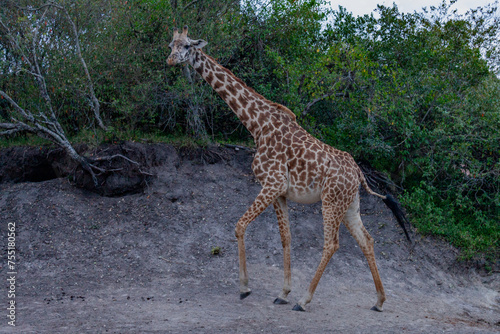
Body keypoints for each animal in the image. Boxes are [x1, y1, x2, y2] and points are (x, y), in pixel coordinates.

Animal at [168, 26, 410, 314]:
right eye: (170, 45)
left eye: (186, 46)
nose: (170, 60)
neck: (256, 125)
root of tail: (359, 174)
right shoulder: (280, 191)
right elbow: (286, 238)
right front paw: (282, 292)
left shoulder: (272, 183)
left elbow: (240, 226)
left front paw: (245, 288)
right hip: (350, 204)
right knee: (367, 240)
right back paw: (379, 301)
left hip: (331, 201)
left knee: (331, 243)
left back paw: (304, 300)